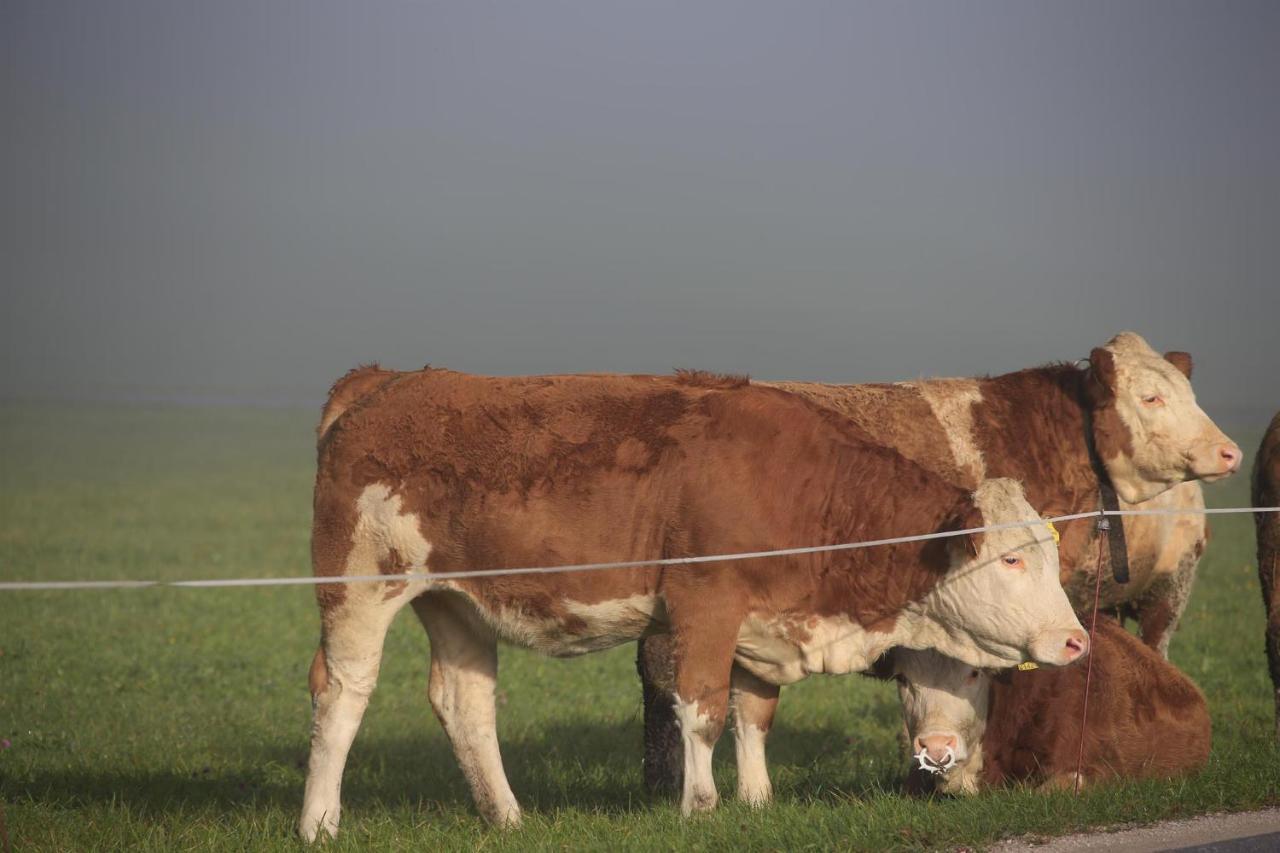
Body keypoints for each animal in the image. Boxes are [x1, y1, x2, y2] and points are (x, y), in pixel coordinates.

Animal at [302, 368, 1090, 835]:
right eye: (1012, 558)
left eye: (1051, 553)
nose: (1076, 640)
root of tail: (385, 382)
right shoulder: (705, 602)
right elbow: (703, 708)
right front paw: (701, 807)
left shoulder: (764, 622)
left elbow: (753, 713)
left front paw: (757, 800)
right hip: (360, 586)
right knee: (342, 691)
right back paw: (319, 821)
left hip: (457, 604)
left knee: (464, 701)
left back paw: (508, 817)